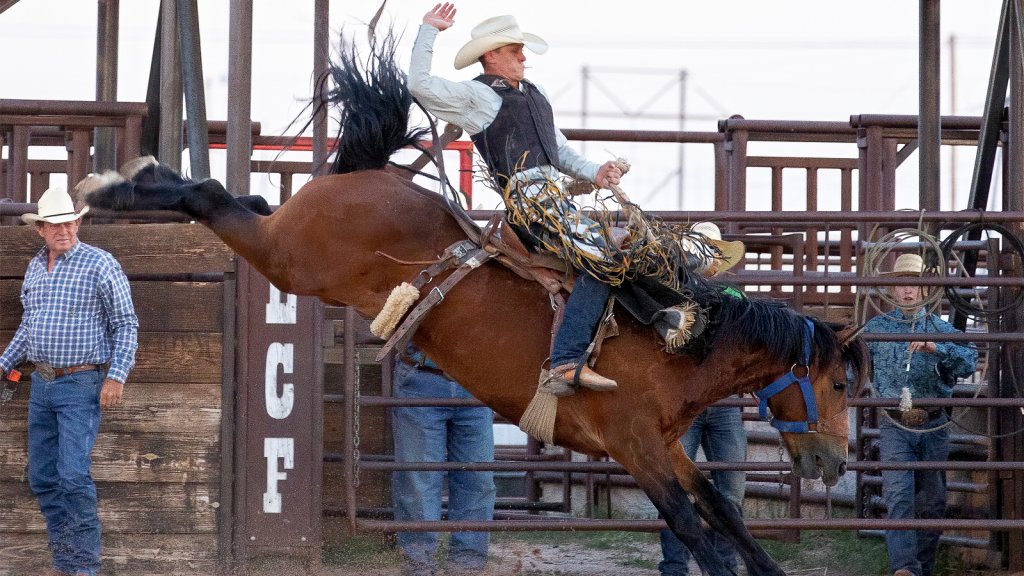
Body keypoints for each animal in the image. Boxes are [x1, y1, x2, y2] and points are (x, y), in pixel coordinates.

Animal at [86, 31, 864, 573]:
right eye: (835, 384)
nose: (834, 464)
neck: (679, 338)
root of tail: (370, 177)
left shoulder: (668, 447)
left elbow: (725, 516)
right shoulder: (636, 445)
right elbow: (696, 532)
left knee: (238, 200)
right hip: (291, 258)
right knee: (215, 199)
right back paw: (119, 186)